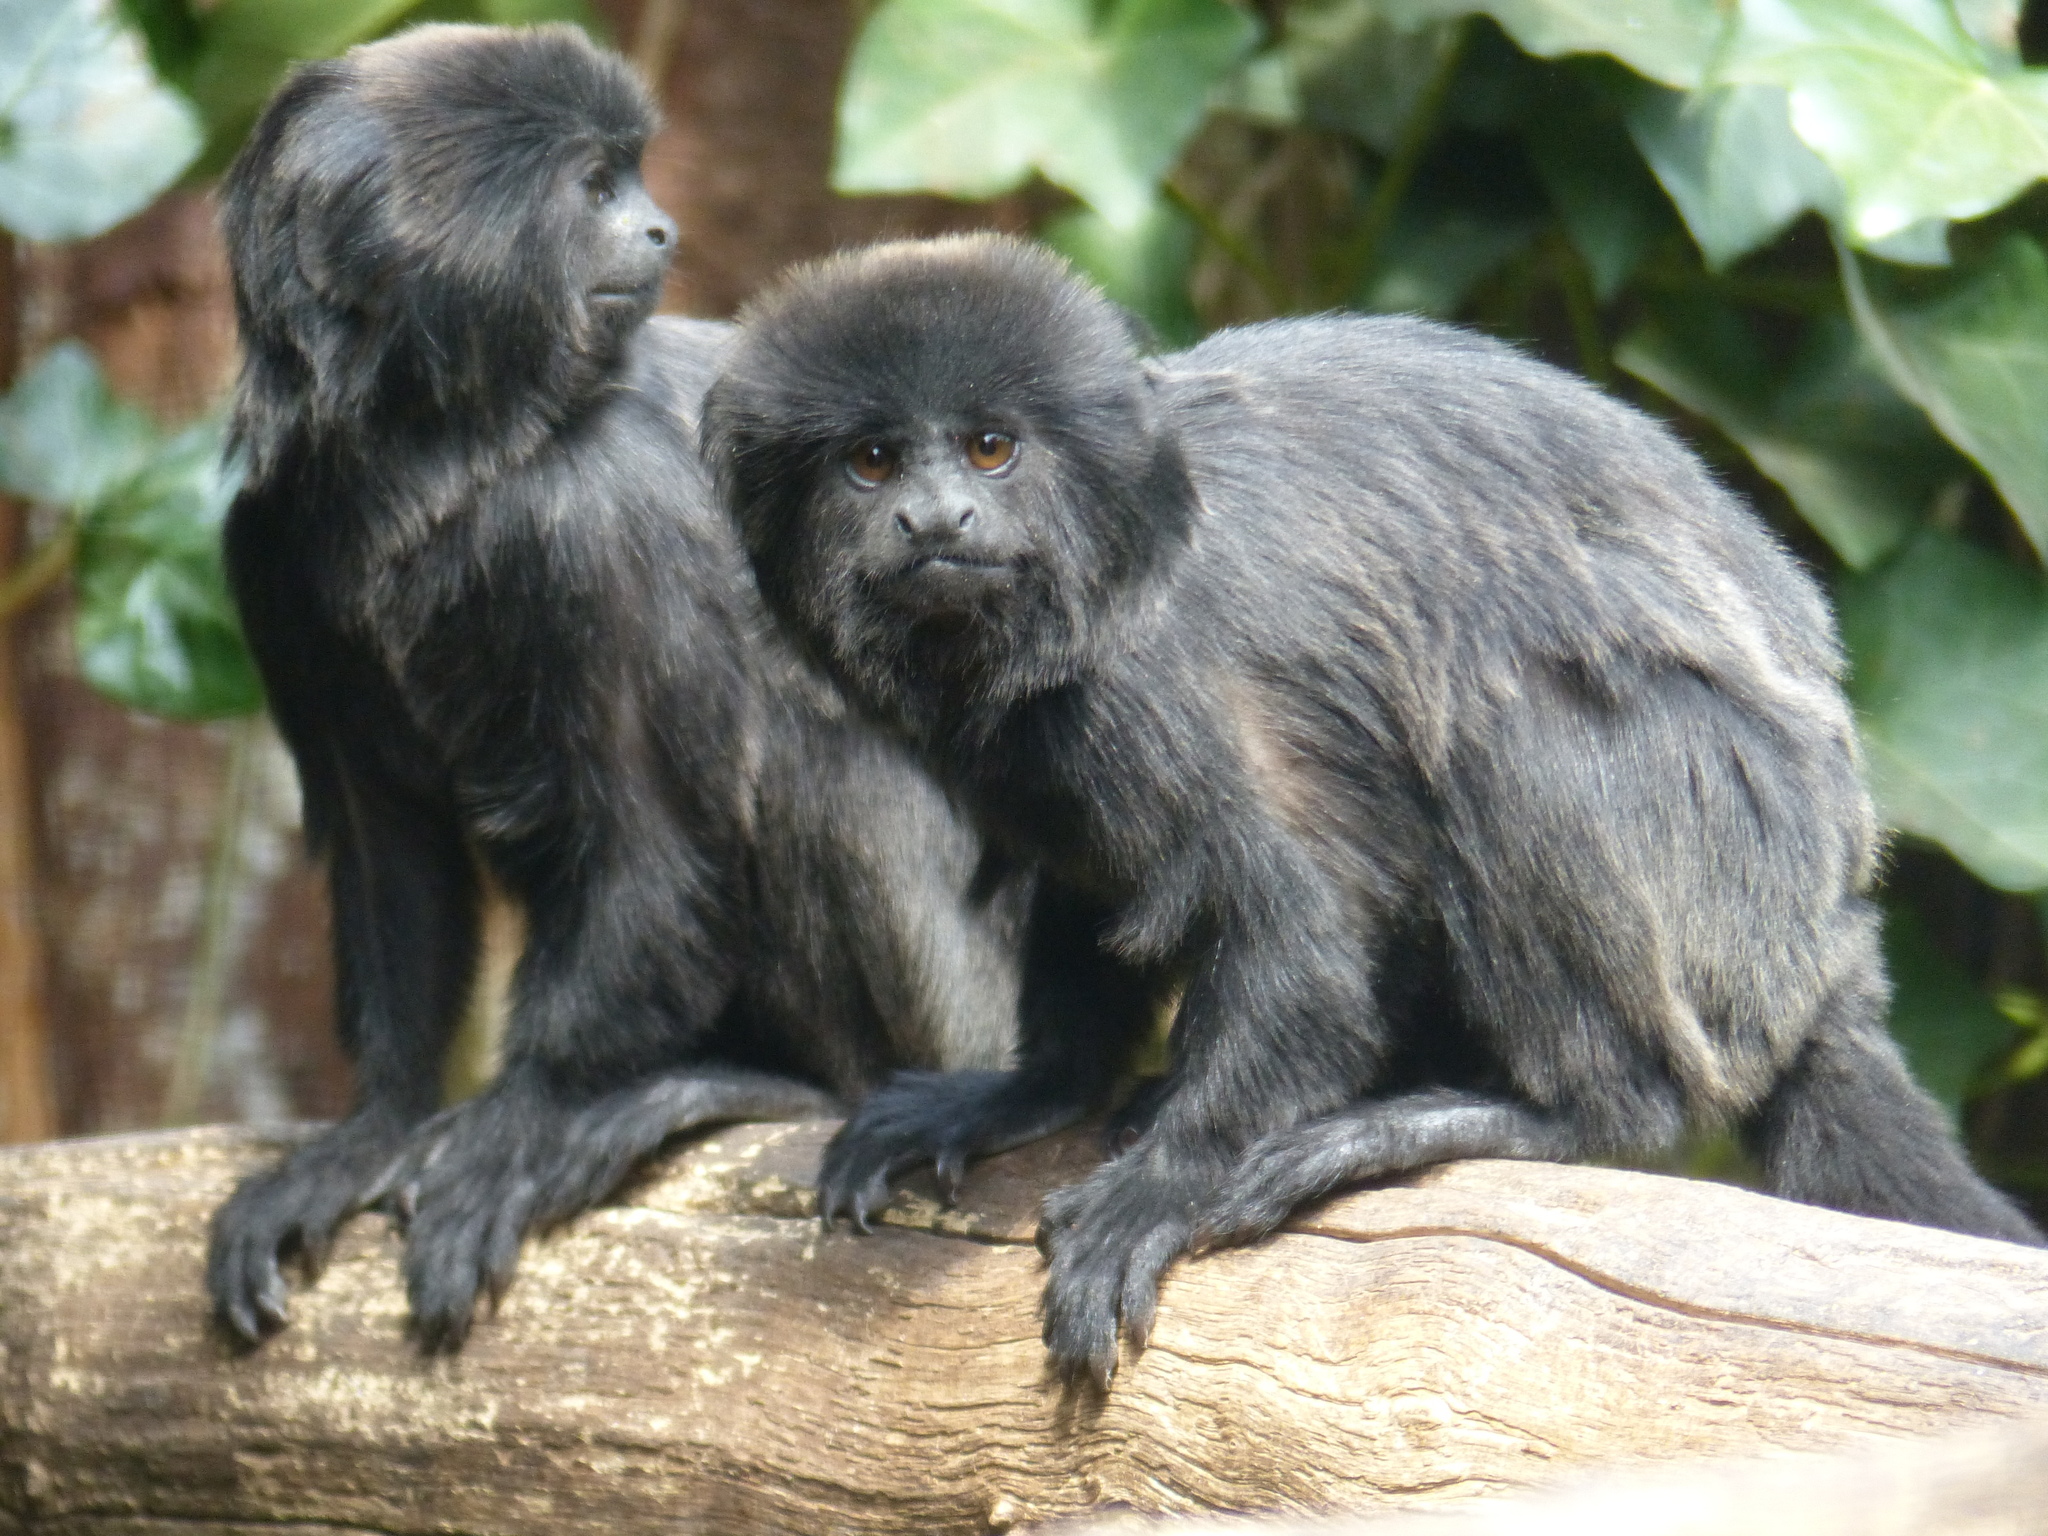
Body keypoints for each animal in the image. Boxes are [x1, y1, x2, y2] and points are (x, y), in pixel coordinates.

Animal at [207, 30, 1024, 1351]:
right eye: (596, 189)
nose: (659, 227)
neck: (443, 468)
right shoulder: (274, 539)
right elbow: (392, 843)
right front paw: (374, 1125)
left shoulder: (595, 509)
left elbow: (651, 845)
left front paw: (528, 1112)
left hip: (961, 1011)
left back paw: (752, 1083)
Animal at [708, 237, 2048, 1384]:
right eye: (871, 462)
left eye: (990, 450)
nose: (936, 520)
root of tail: (1824, 931)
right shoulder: (1059, 744)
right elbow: (1092, 887)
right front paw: (1027, 1090)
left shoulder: (1167, 678)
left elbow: (1301, 934)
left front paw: (1165, 1183)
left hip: (1726, 868)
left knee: (1520, 733)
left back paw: (1519, 1111)